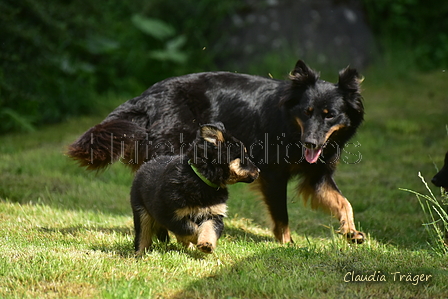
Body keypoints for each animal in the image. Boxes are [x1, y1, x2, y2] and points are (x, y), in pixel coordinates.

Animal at [130, 123, 260, 254]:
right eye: (242, 157)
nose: (259, 171)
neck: (201, 179)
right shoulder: (169, 214)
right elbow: (190, 229)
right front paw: (196, 239)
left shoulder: (214, 214)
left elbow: (208, 228)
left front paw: (206, 244)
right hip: (141, 210)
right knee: (143, 235)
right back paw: (140, 254)